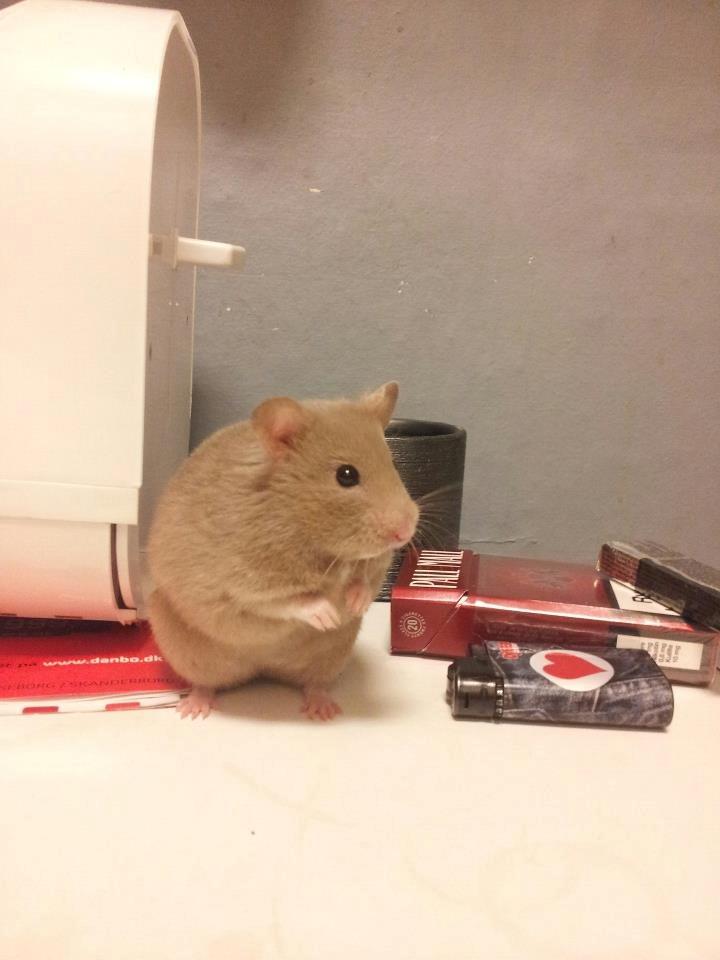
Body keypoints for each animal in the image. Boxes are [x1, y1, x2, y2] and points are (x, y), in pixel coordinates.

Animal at [148, 382, 418, 720]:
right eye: (346, 475)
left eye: (392, 464)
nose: (406, 530)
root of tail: (263, 671)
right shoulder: (245, 584)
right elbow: (287, 602)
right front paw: (328, 615)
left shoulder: (377, 564)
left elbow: (366, 583)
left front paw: (353, 605)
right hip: (187, 652)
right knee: (205, 684)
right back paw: (193, 709)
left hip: (329, 659)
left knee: (314, 684)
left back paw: (323, 711)